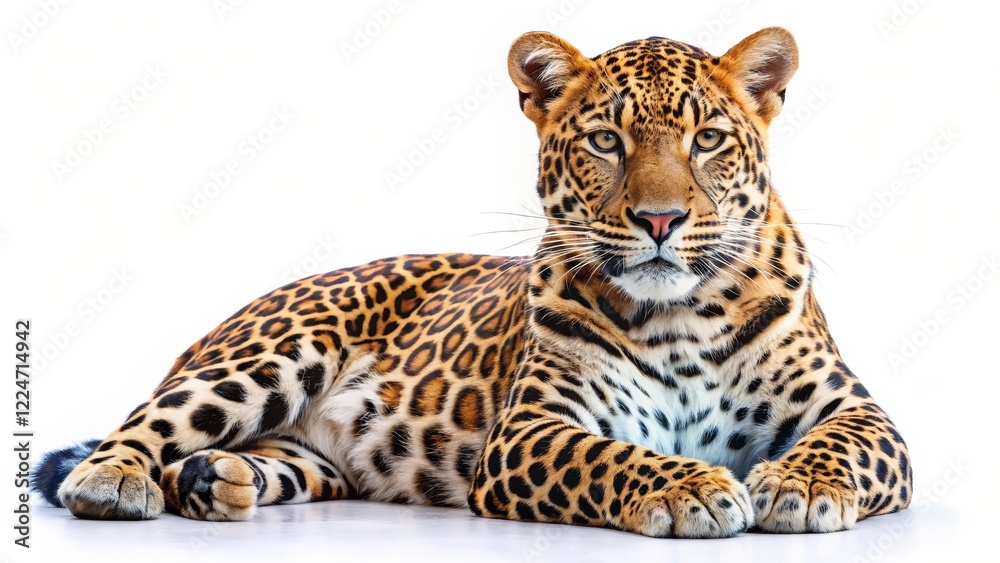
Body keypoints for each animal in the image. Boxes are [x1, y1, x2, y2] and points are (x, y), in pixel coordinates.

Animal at [33, 27, 911, 537]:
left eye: (708, 140)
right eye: (605, 140)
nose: (660, 219)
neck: (681, 315)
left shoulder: (859, 410)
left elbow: (845, 443)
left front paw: (795, 483)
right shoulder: (531, 430)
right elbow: (612, 457)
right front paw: (692, 487)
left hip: (311, 454)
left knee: (259, 457)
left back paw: (218, 477)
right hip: (267, 353)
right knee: (133, 432)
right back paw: (116, 480)